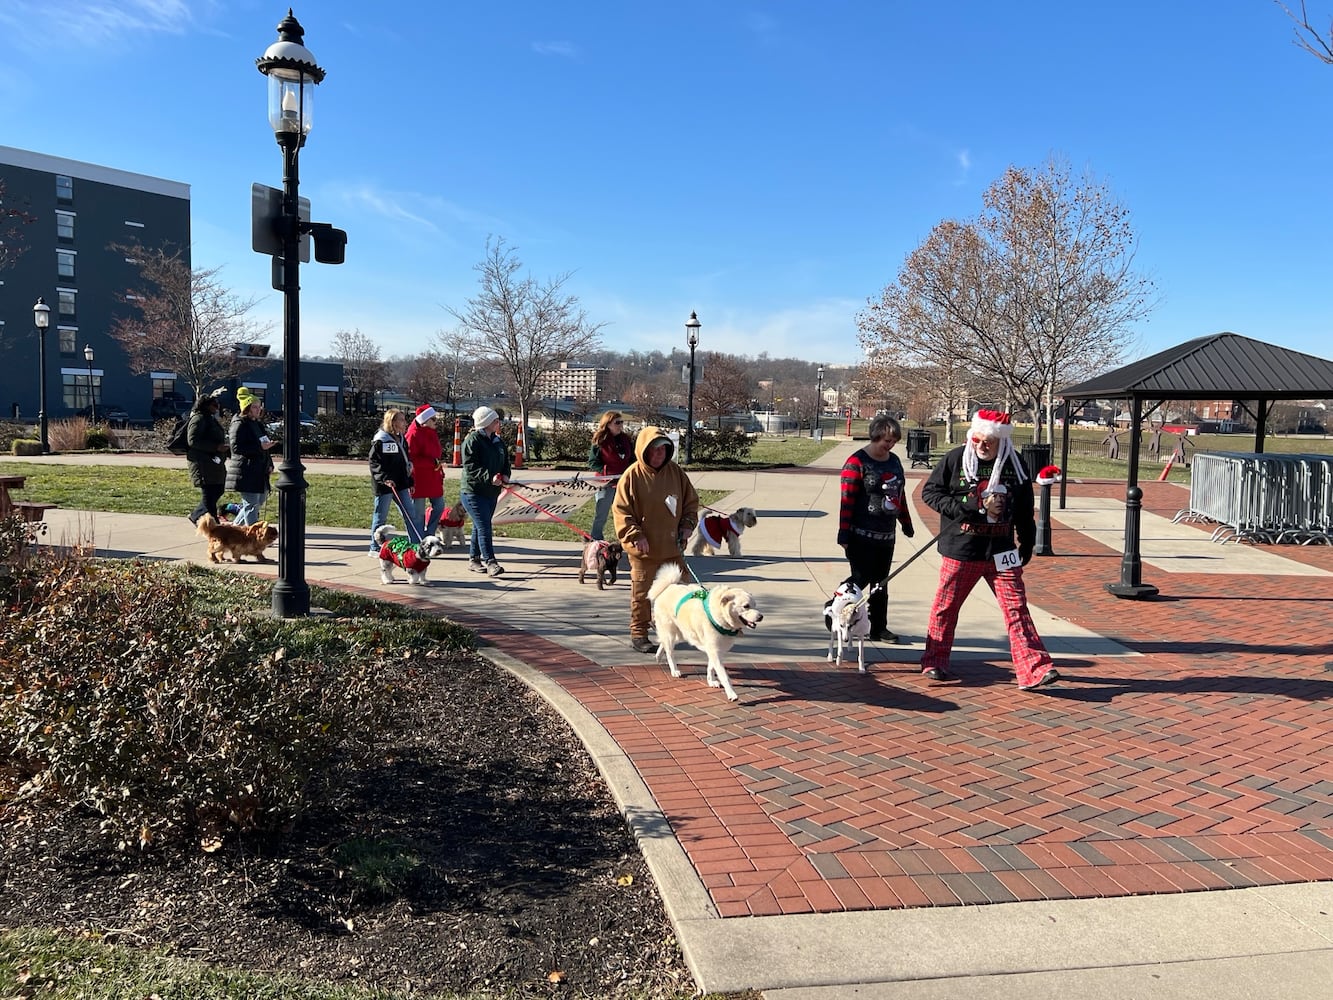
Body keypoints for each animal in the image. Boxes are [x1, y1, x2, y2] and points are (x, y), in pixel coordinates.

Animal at [650, 565, 767, 704]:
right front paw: (731, 694)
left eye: (755, 605)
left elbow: (711, 667)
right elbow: (723, 675)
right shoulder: (715, 650)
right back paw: (674, 670)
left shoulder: (716, 650)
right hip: (671, 633)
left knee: (663, 642)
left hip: (682, 634)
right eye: (746, 606)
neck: (721, 617)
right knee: (670, 653)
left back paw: (658, 656)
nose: (761, 617)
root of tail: (669, 586)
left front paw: (711, 681)